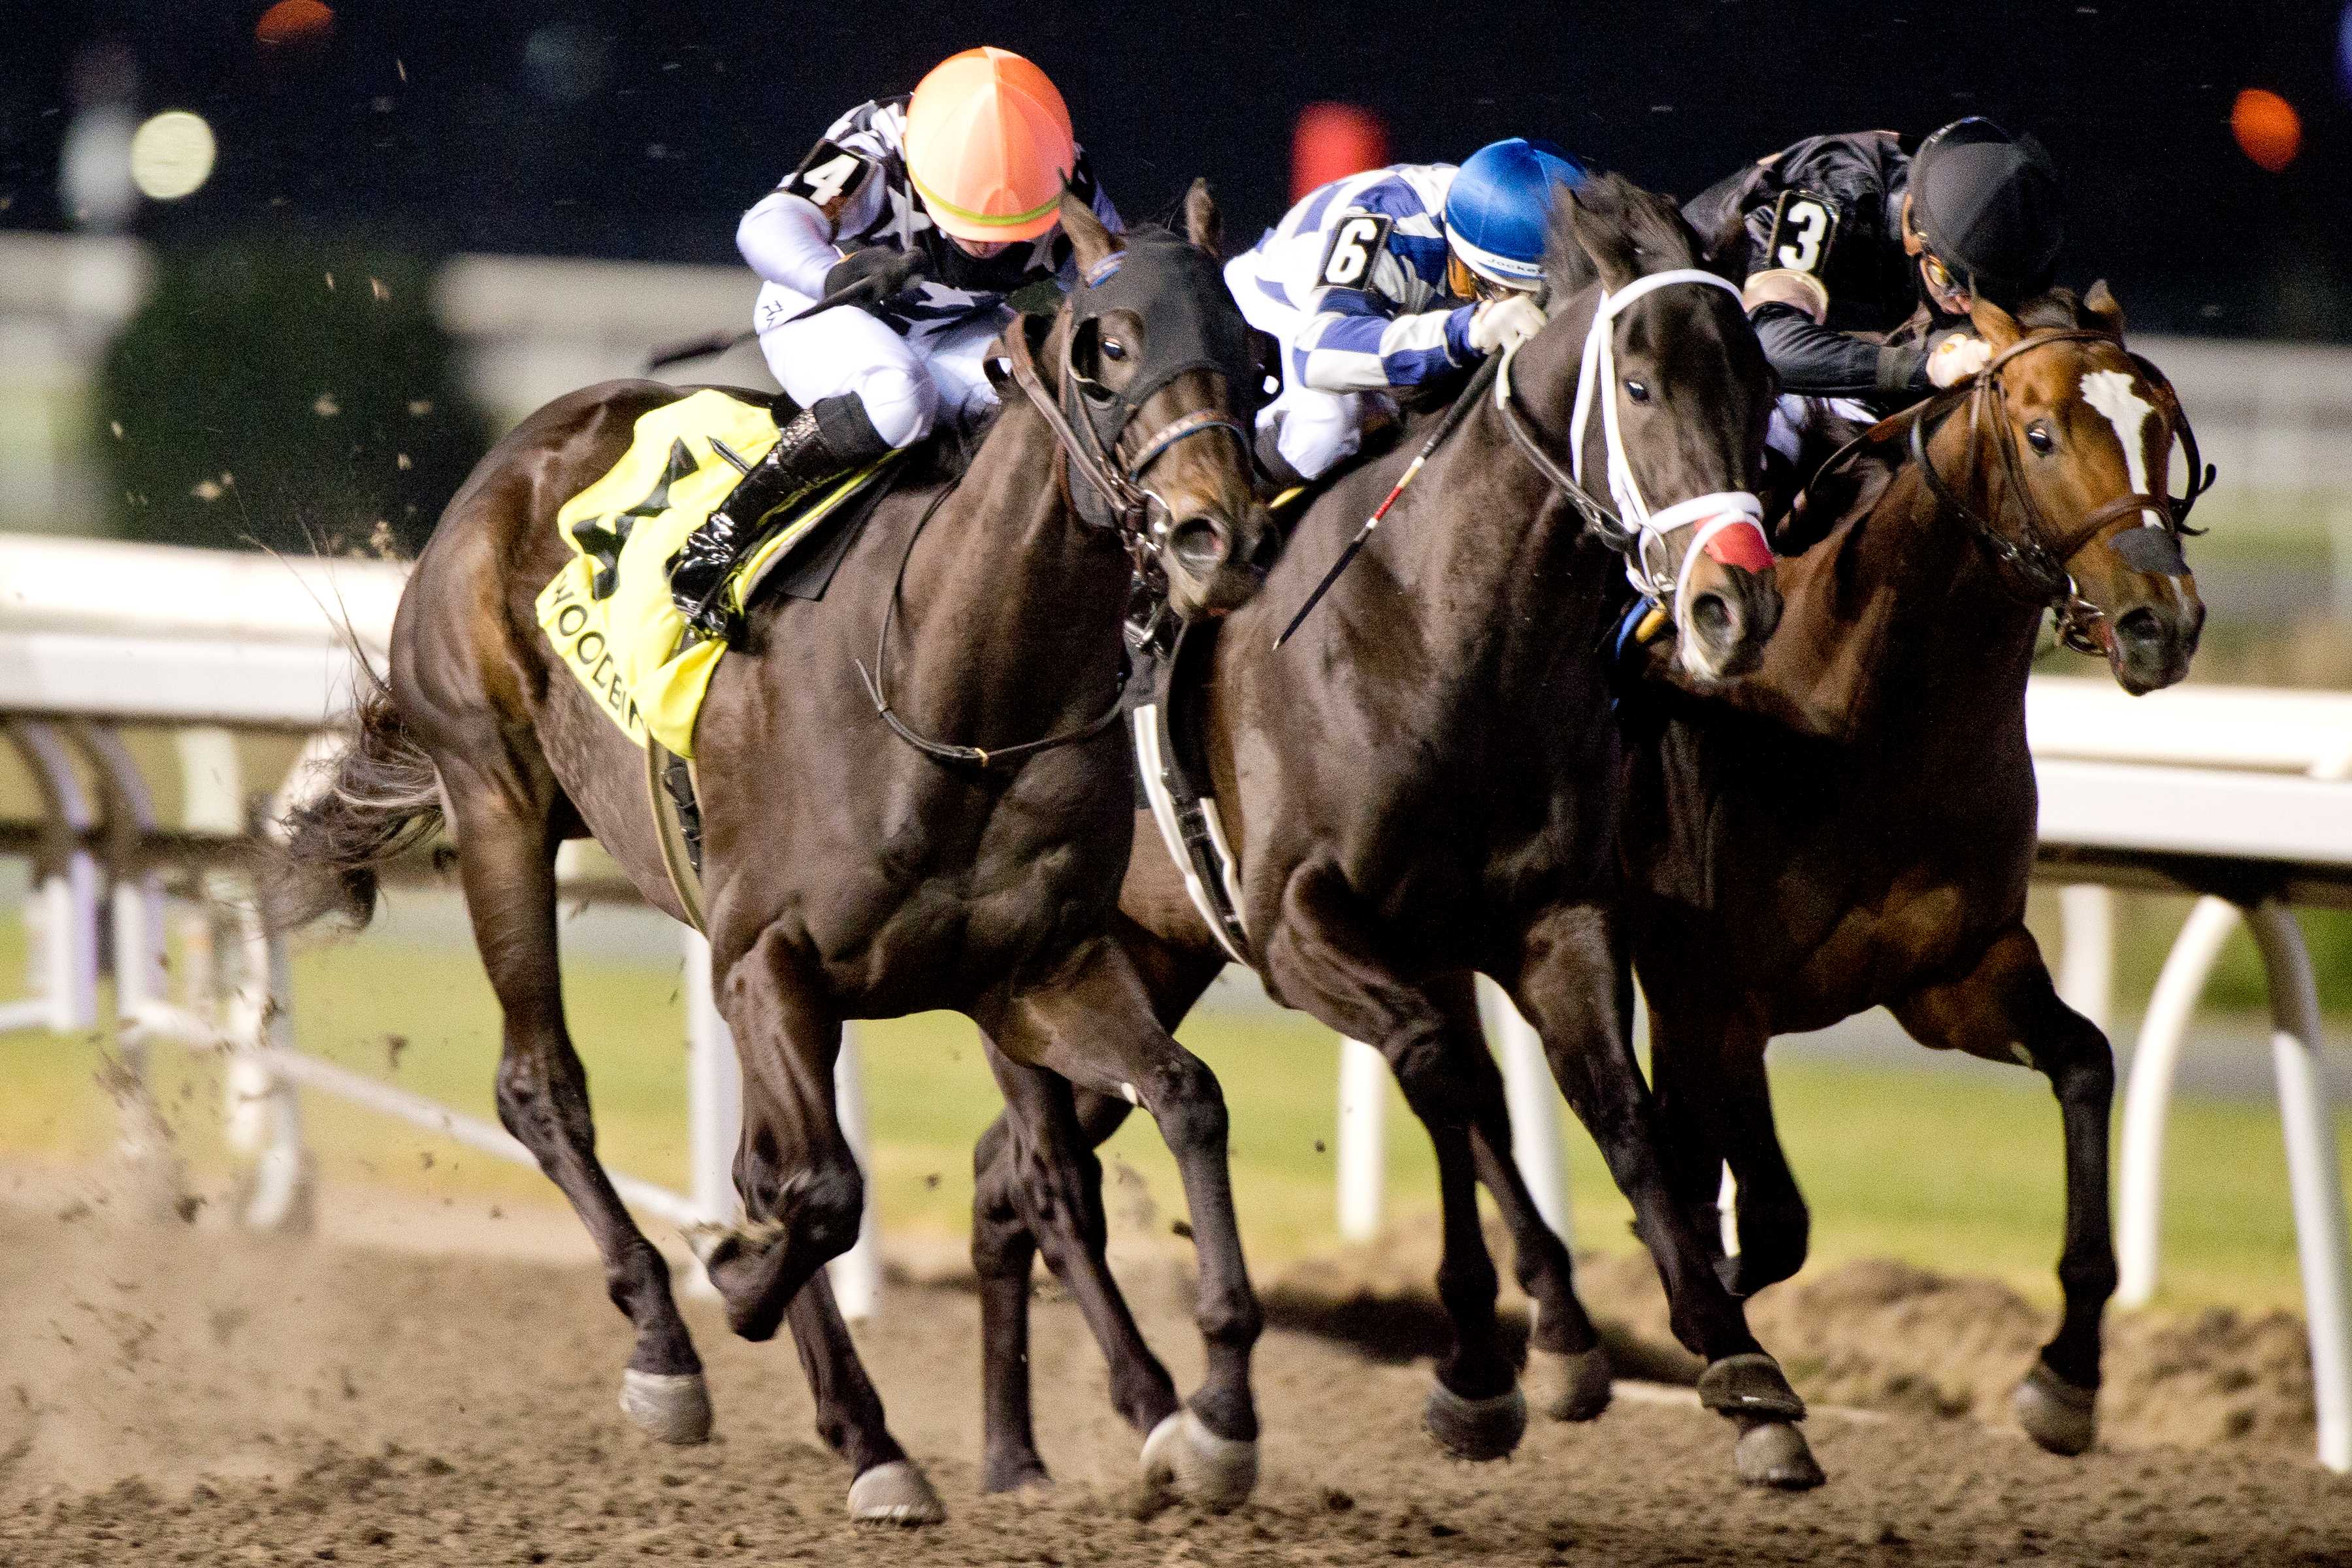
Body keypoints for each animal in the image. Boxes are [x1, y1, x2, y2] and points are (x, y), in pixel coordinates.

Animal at [277, 190, 1288, 1523]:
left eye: (1255, 353)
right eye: (1107, 346)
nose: (1218, 539)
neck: (954, 690)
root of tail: (523, 444)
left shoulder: (1033, 974)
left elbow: (1182, 1101)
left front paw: (1210, 1415)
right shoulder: (771, 963)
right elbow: (817, 1192)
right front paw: (732, 1284)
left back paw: (875, 1431)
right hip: (497, 802)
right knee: (543, 1089)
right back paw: (676, 1351)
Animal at [964, 175, 1825, 1495]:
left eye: (1762, 387)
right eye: (1637, 387)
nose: (1735, 605)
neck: (1437, 625)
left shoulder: (1550, 919)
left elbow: (1613, 1107)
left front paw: (1736, 1366)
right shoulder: (1299, 928)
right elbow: (1443, 1074)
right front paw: (1482, 1362)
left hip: (1146, 962)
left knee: (999, 1180)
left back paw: (1012, 1450)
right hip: (1034, 965)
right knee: (1044, 1173)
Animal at [1618, 282, 2201, 1457]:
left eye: (2162, 428)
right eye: (2041, 435)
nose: (2163, 623)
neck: (1860, 720)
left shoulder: (1952, 974)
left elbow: (2087, 1065)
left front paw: (2067, 1377)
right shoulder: (1712, 997)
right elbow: (1762, 1212)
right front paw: (1709, 1334)